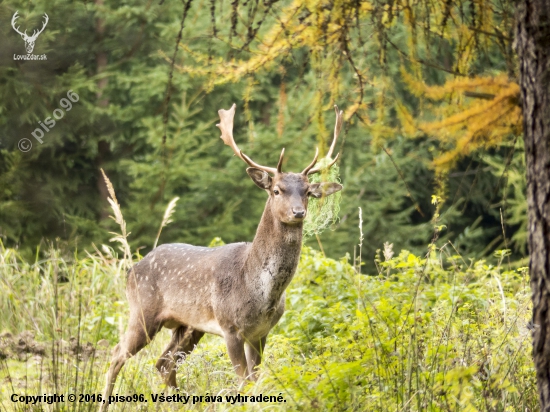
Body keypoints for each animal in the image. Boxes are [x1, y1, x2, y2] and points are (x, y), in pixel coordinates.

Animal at [101, 104, 342, 408]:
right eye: (277, 190)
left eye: (308, 192)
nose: (299, 212)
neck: (257, 287)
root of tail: (131, 270)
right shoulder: (230, 327)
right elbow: (244, 382)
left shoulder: (261, 332)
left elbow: (256, 380)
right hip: (143, 311)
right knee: (117, 354)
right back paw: (104, 403)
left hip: (188, 326)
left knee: (163, 363)